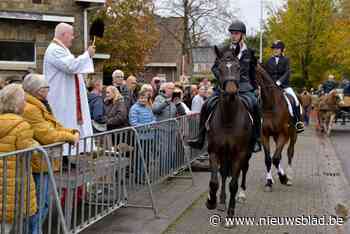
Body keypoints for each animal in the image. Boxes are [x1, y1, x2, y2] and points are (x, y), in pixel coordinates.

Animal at [205, 45, 254, 227]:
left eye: (238, 67)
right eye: (219, 68)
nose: (231, 91)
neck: (228, 118)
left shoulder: (240, 153)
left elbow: (233, 183)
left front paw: (230, 215)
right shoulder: (214, 151)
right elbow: (214, 181)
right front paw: (211, 201)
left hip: (245, 153)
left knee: (242, 171)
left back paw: (241, 195)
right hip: (225, 154)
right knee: (224, 173)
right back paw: (221, 202)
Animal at [256, 63, 296, 191]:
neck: (270, 104)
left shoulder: (283, 134)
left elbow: (276, 158)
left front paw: (284, 178)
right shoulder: (264, 134)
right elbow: (269, 159)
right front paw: (269, 181)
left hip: (293, 134)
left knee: (290, 152)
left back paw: (289, 177)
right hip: (275, 136)